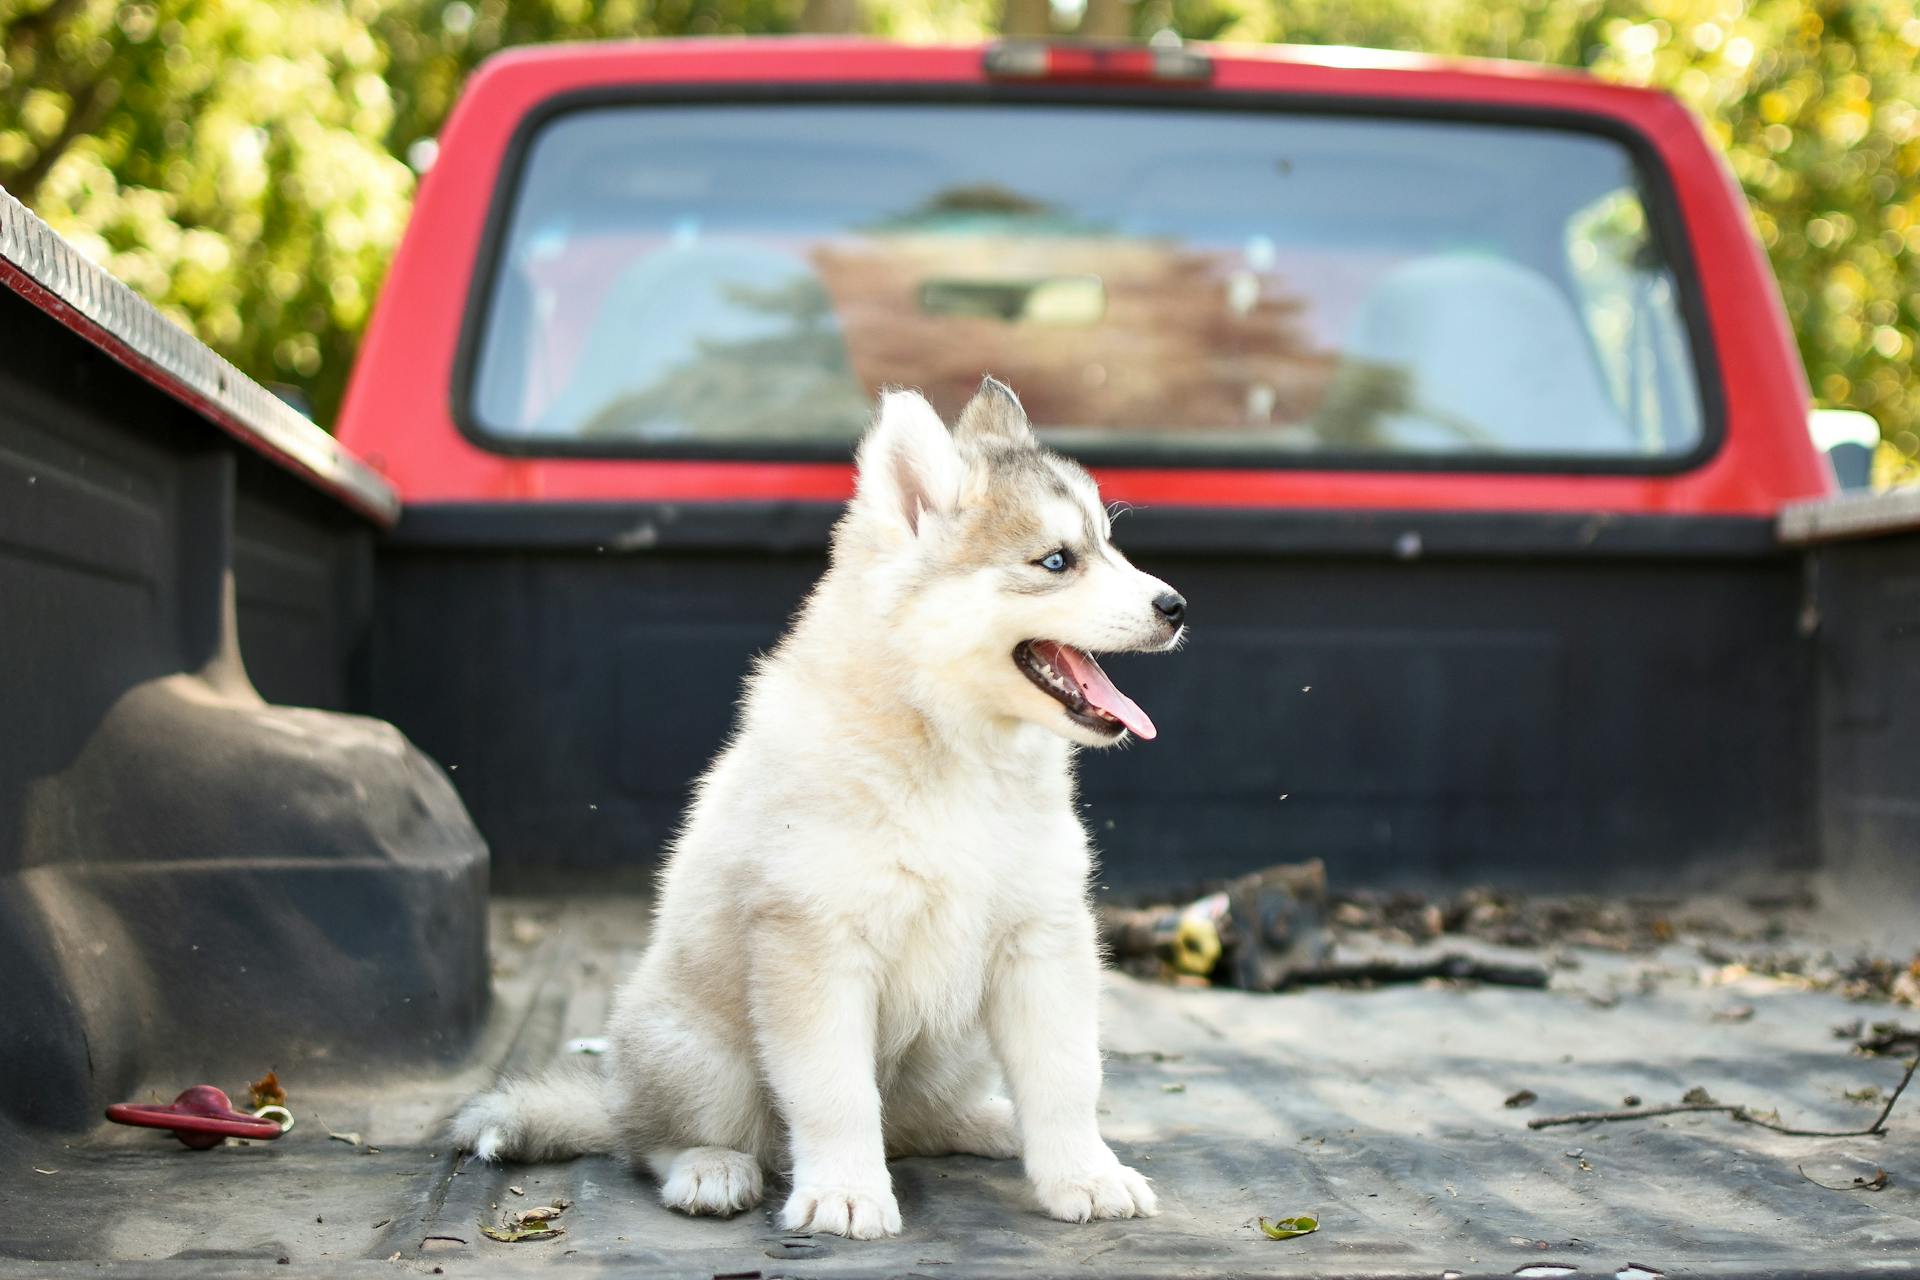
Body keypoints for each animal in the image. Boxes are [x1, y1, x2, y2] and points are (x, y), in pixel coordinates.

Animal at [456, 379, 1190, 1243]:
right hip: (702, 1056)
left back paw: (989, 1122)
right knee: (653, 1142)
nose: (1176, 605)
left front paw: (1085, 1173)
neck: (956, 755)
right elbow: (836, 1093)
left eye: (1109, 546)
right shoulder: (816, 947)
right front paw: (844, 1191)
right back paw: (710, 1168)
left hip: (953, 1046)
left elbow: (1069, 1076)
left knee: (914, 1123)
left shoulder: (1042, 940)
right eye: (1056, 561)